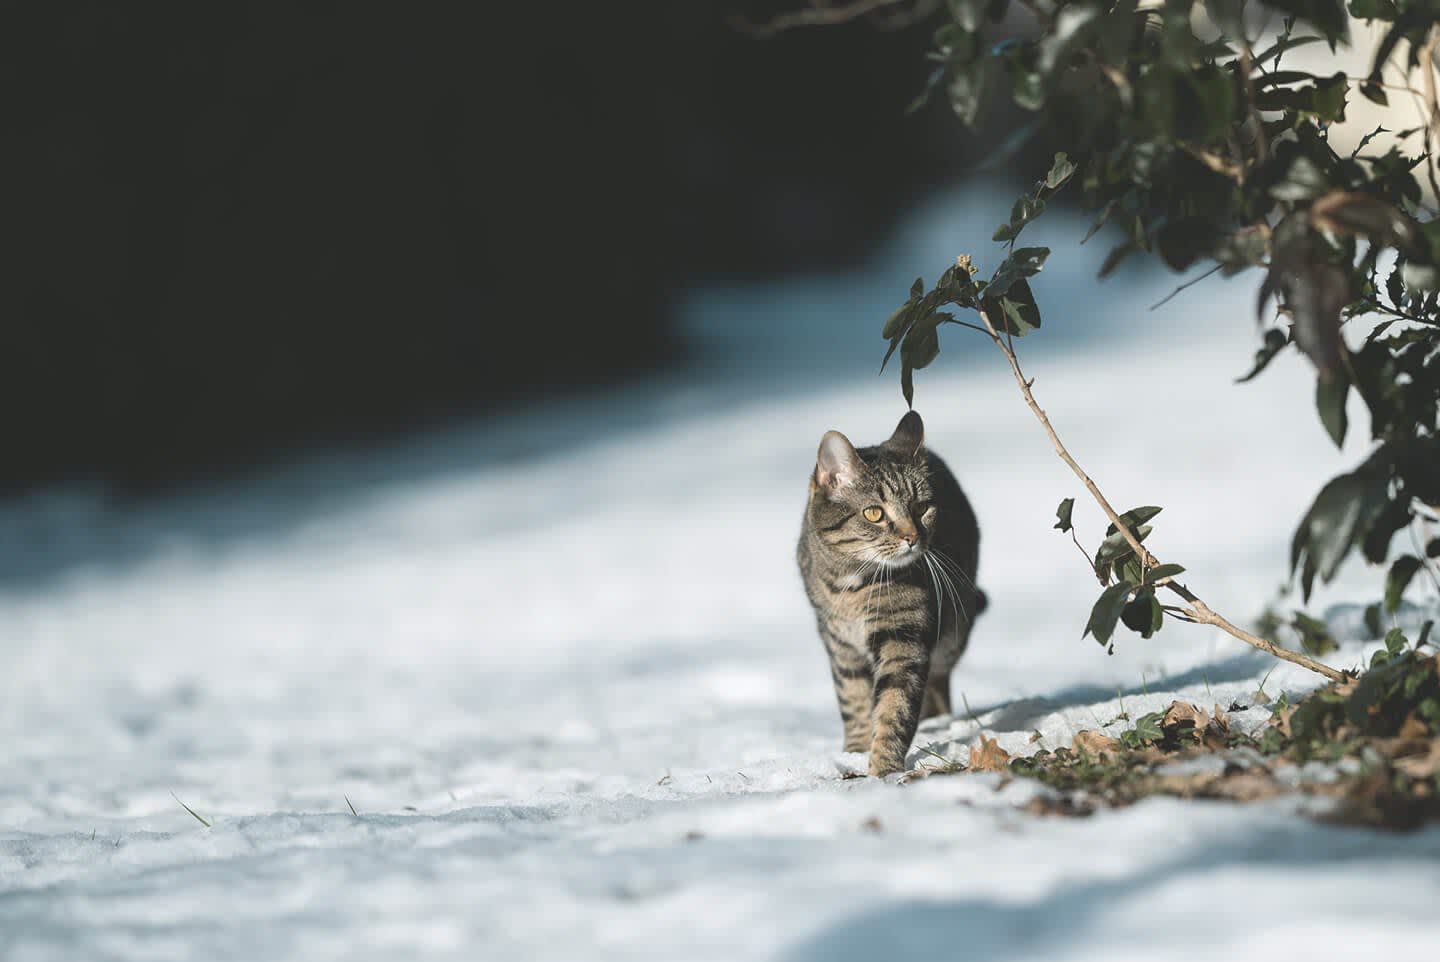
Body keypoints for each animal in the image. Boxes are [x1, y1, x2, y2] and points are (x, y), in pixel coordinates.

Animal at [794, 408, 984, 777]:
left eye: (922, 507)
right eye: (874, 513)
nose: (913, 538)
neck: (849, 587)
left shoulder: (903, 636)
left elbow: (894, 706)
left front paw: (883, 768)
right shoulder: (839, 645)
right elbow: (852, 699)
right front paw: (854, 752)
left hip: (954, 631)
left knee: (939, 682)